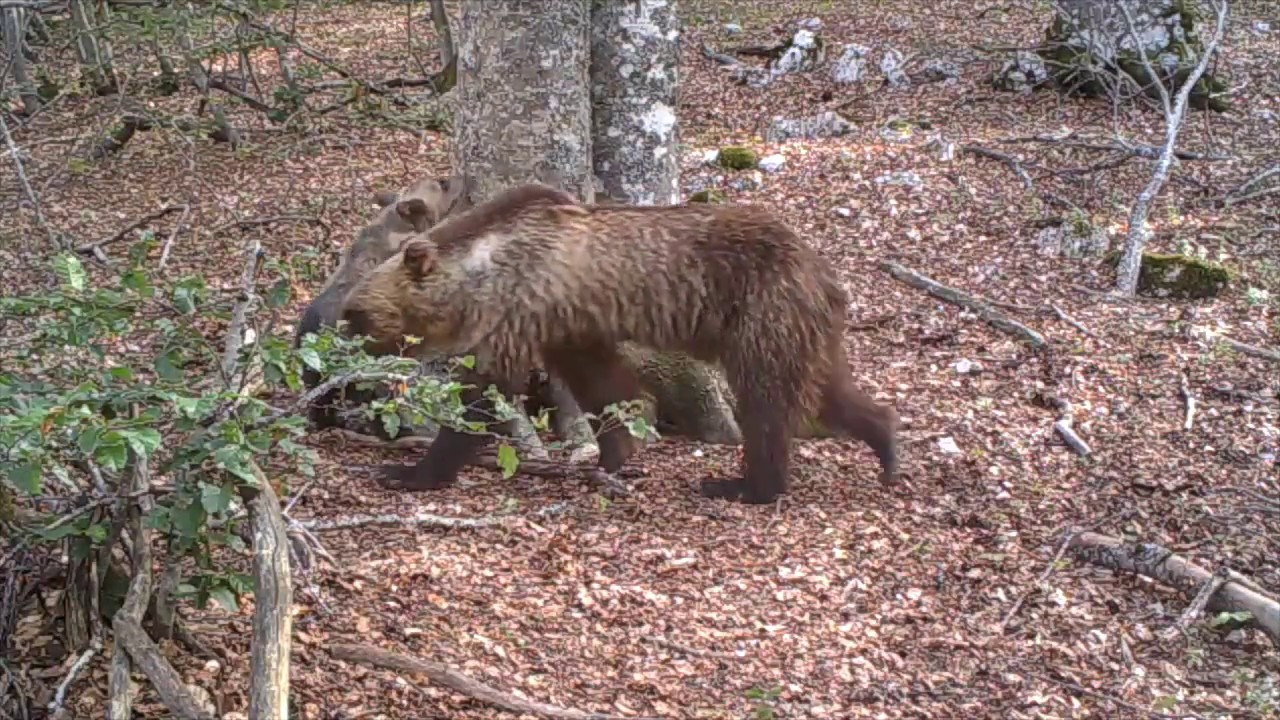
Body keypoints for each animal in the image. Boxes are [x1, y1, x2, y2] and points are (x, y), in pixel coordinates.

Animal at [338, 183, 899, 505]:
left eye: (353, 313)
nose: (337, 344)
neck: (481, 273)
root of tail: (821, 268)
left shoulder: (520, 309)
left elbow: (486, 394)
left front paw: (409, 471)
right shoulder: (566, 323)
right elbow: (603, 385)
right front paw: (615, 454)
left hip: (760, 312)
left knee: (766, 403)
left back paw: (745, 485)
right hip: (800, 327)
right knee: (826, 389)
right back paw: (887, 444)